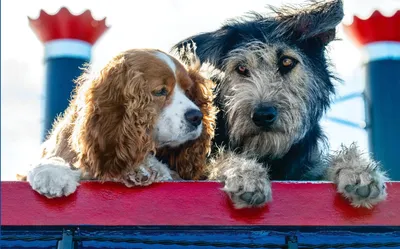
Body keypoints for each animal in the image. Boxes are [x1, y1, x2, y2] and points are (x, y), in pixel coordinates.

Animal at [172, 0, 388, 209]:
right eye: (241, 68)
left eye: (286, 62)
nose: (263, 115)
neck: (268, 153)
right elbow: (219, 159)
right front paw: (245, 173)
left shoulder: (303, 170)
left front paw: (357, 169)